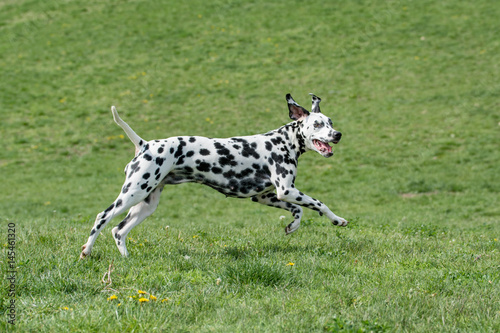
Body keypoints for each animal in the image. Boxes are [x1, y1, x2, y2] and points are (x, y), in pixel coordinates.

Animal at [81, 93, 348, 260]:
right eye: (317, 124)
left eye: (331, 122)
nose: (337, 134)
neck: (283, 141)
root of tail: (144, 144)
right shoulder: (287, 191)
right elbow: (319, 204)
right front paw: (338, 219)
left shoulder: (267, 196)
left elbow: (298, 210)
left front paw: (292, 227)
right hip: (132, 193)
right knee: (102, 217)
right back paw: (86, 251)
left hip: (146, 204)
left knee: (119, 231)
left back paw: (126, 258)